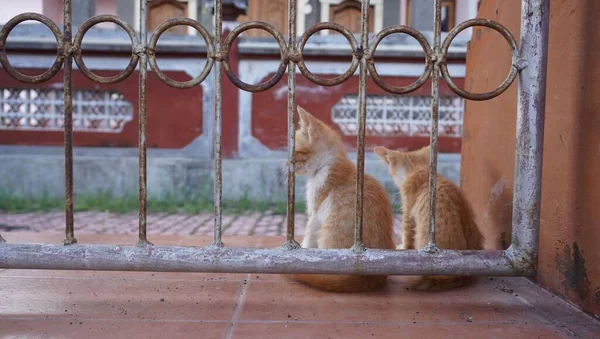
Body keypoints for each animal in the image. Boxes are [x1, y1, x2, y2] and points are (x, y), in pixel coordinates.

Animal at [292, 106, 396, 292]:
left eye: (296, 152)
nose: (287, 163)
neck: (327, 165)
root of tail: (371, 276)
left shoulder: (315, 213)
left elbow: (309, 236)